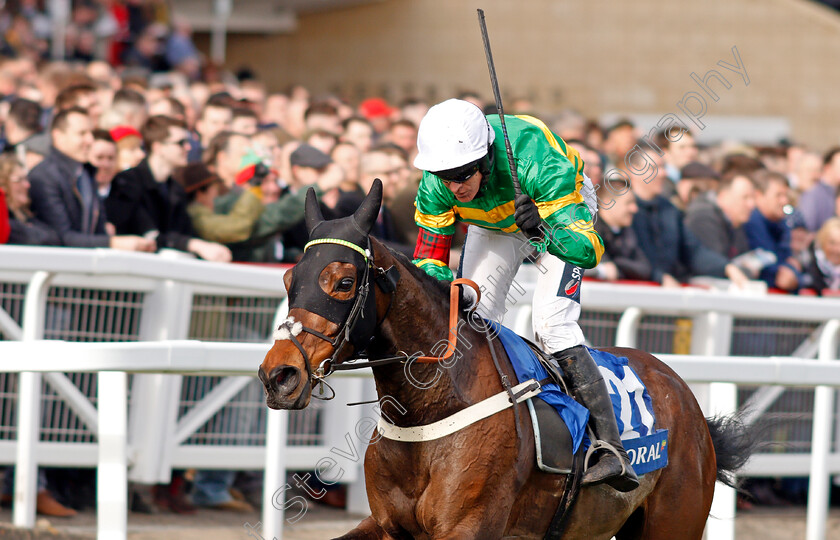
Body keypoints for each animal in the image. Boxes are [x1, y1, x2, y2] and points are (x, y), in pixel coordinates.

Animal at [260, 182, 756, 540]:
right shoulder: (386, 525)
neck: (428, 413)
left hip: (674, 521)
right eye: (287, 279)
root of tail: (684, 396)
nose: (278, 375)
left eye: (343, 282)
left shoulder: (468, 528)